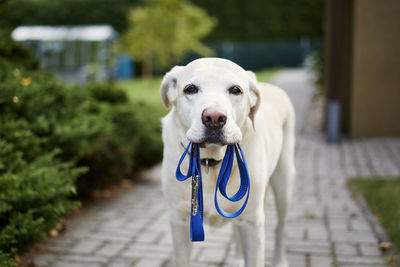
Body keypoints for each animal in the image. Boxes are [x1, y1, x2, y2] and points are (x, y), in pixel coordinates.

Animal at [161, 57, 296, 266]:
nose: (214, 118)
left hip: (284, 182)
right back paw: (237, 258)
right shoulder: (179, 220)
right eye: (190, 89)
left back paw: (280, 260)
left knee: (281, 227)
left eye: (235, 90)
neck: (211, 162)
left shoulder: (252, 222)